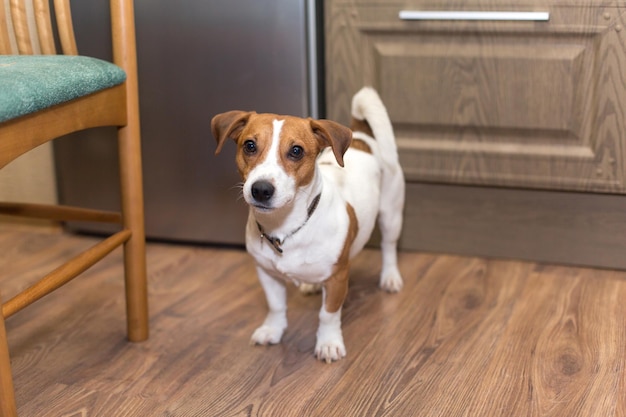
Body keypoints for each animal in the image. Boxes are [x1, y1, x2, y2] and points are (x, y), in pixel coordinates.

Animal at [211, 87, 404, 360]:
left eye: (296, 151)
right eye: (249, 145)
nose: (261, 189)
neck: (285, 228)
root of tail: (361, 137)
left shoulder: (337, 279)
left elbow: (328, 314)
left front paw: (329, 342)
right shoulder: (266, 273)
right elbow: (276, 306)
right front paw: (273, 329)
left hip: (391, 215)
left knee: (389, 247)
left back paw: (390, 277)